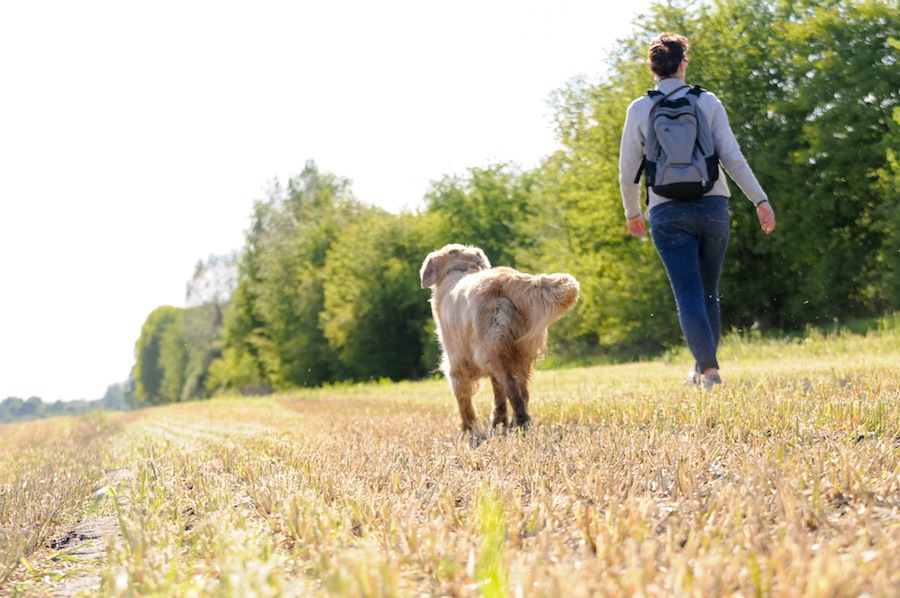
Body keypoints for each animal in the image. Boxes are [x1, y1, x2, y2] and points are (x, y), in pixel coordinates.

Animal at [420, 245, 580, 436]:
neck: (459, 270)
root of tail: (507, 279)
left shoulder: (456, 363)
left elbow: (463, 399)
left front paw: (468, 429)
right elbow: (498, 396)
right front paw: (498, 422)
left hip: (497, 350)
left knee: (513, 390)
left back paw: (522, 423)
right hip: (520, 353)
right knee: (522, 391)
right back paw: (515, 423)